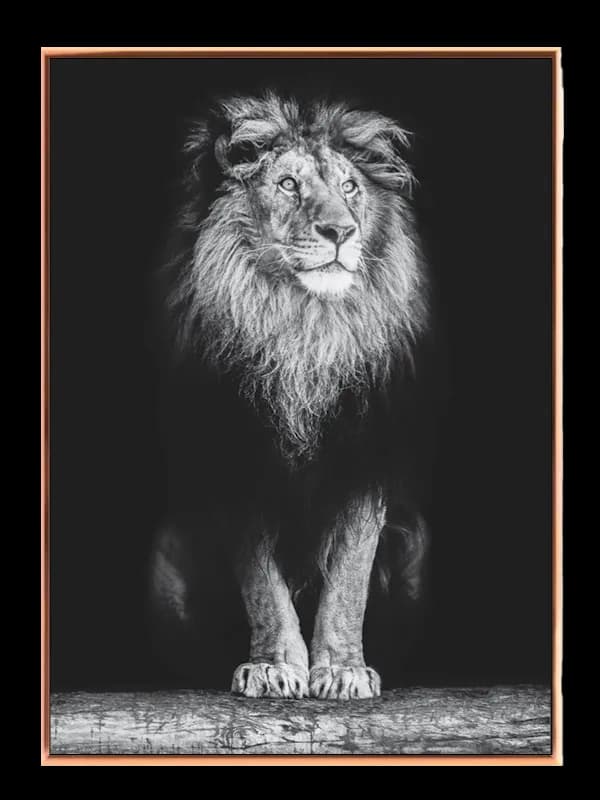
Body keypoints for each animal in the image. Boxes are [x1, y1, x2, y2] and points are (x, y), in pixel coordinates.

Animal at [150, 92, 433, 700]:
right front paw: (274, 666)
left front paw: (343, 670)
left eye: (350, 187)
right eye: (286, 184)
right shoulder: (238, 457)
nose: (341, 231)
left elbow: (350, 575)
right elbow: (261, 581)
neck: (303, 329)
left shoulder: (366, 458)